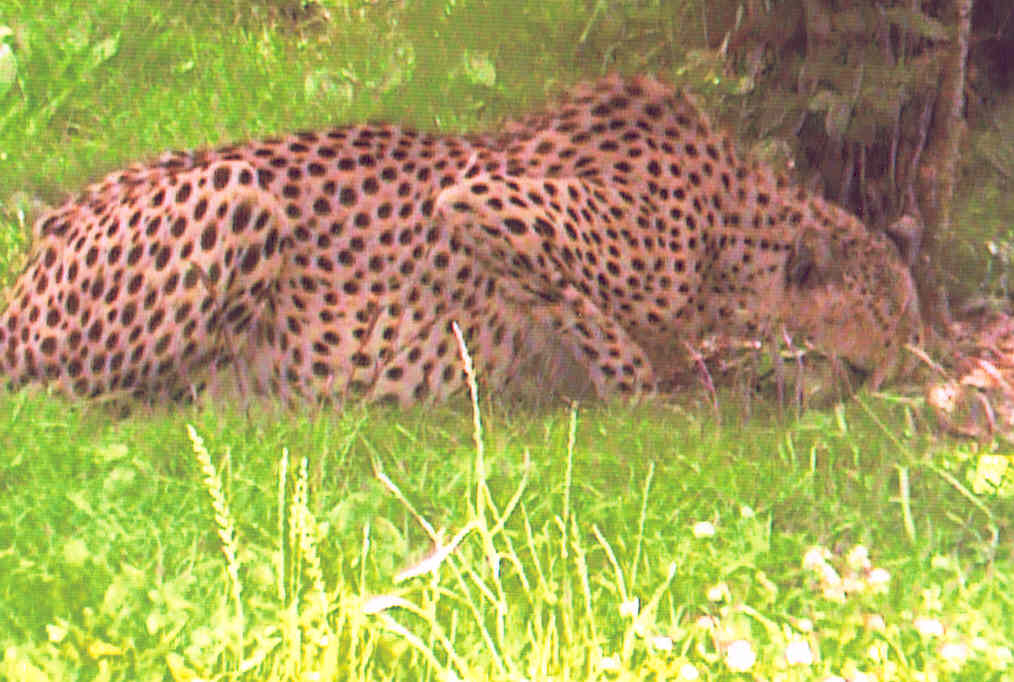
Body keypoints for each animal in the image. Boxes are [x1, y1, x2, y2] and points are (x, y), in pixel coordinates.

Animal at [0, 74, 923, 406]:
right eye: (885, 329)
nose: (888, 379)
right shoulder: (488, 201)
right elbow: (601, 334)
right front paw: (651, 399)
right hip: (239, 194)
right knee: (68, 405)